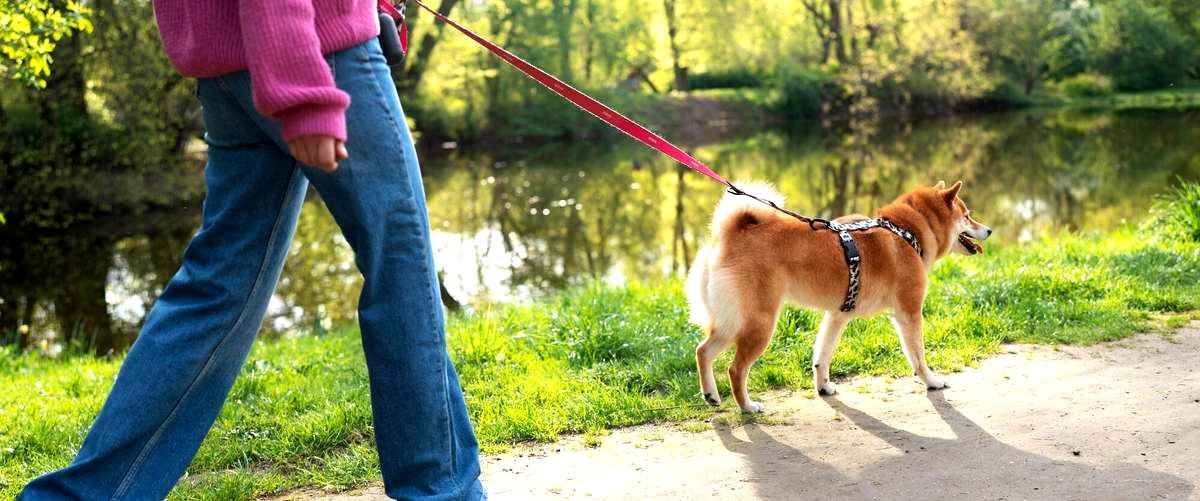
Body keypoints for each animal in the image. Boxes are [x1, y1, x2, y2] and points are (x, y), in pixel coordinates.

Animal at [691, 179, 988, 409]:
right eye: (967, 215)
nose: (989, 229)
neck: (905, 231)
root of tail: (730, 236)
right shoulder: (909, 311)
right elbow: (918, 355)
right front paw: (932, 381)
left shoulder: (837, 315)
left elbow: (822, 355)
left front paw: (823, 387)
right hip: (759, 323)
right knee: (735, 369)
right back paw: (747, 406)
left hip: (731, 322)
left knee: (703, 351)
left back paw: (711, 395)